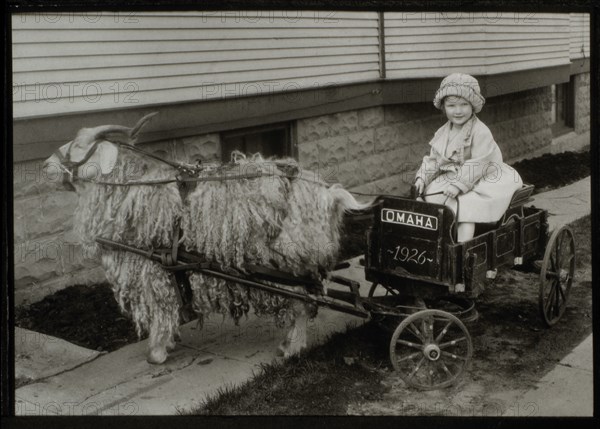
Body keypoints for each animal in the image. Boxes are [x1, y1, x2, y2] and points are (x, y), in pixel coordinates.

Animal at [43, 113, 370, 362]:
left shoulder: (152, 268)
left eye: (78, 145)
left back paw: (290, 348)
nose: (44, 166)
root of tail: (327, 195)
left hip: (290, 260)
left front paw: (157, 352)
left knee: (301, 303)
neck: (130, 191)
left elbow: (161, 309)